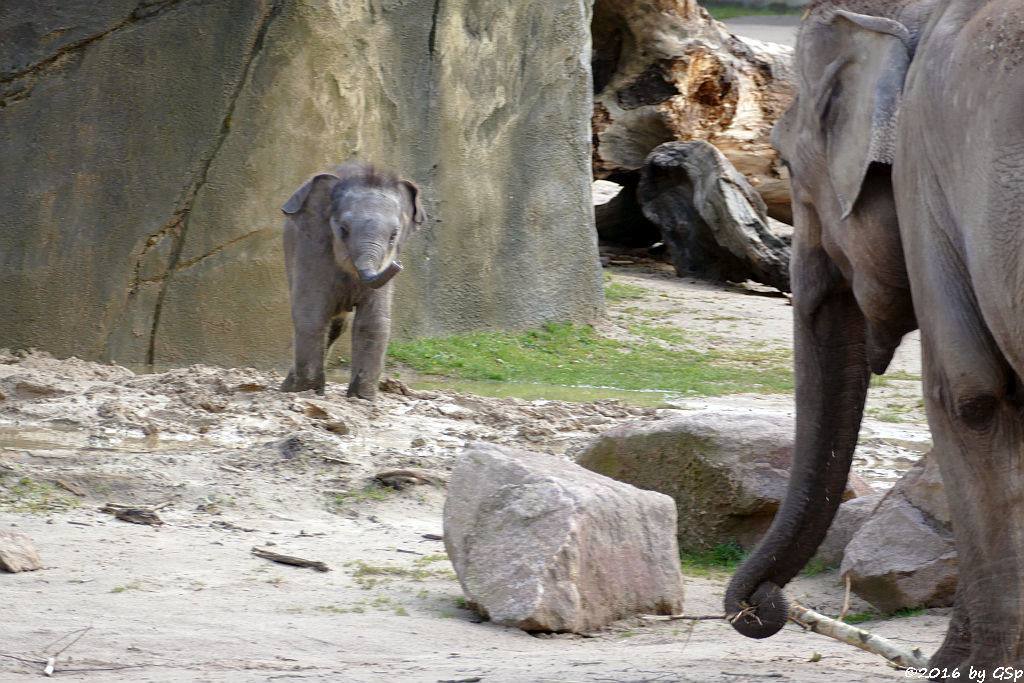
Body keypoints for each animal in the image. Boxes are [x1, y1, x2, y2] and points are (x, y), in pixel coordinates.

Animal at [278, 163, 421, 401]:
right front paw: (305, 391)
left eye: (393, 236)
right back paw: (290, 387)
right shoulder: (313, 248)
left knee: (339, 325)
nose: (398, 264)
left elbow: (373, 321)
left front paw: (362, 398)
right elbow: (312, 313)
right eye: (343, 229)